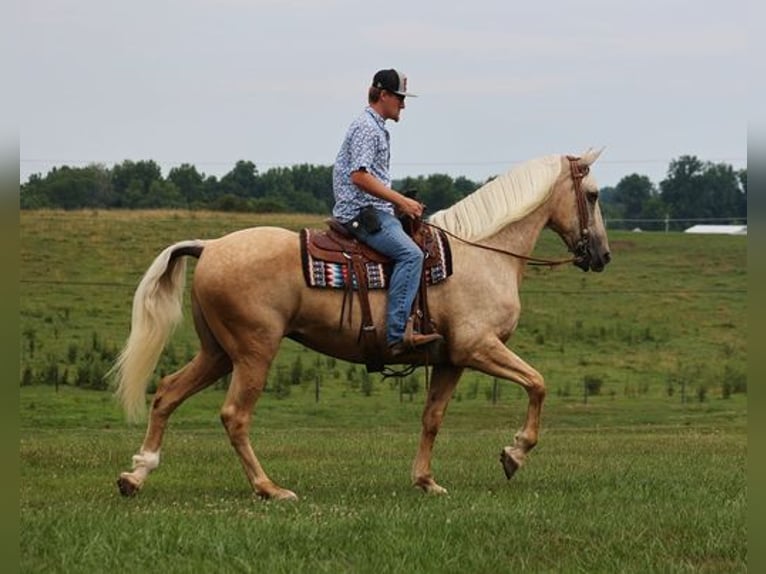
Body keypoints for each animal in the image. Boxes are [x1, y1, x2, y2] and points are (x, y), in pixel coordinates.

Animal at [112, 148, 612, 500]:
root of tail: (210, 246)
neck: (482, 253)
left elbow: (432, 418)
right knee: (234, 415)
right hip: (254, 352)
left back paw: (136, 475)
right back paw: (270, 488)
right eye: (592, 195)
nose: (602, 255)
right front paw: (514, 454)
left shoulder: (450, 359)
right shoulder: (478, 347)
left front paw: (426, 480)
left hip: (217, 352)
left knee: (167, 393)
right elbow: (538, 383)